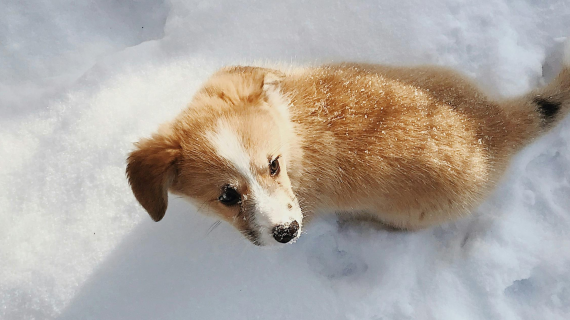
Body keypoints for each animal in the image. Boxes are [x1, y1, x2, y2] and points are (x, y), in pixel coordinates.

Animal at [126, 41, 568, 246]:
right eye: (227, 196)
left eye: (273, 165)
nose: (287, 233)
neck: (291, 133)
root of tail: (495, 125)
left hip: (409, 215)